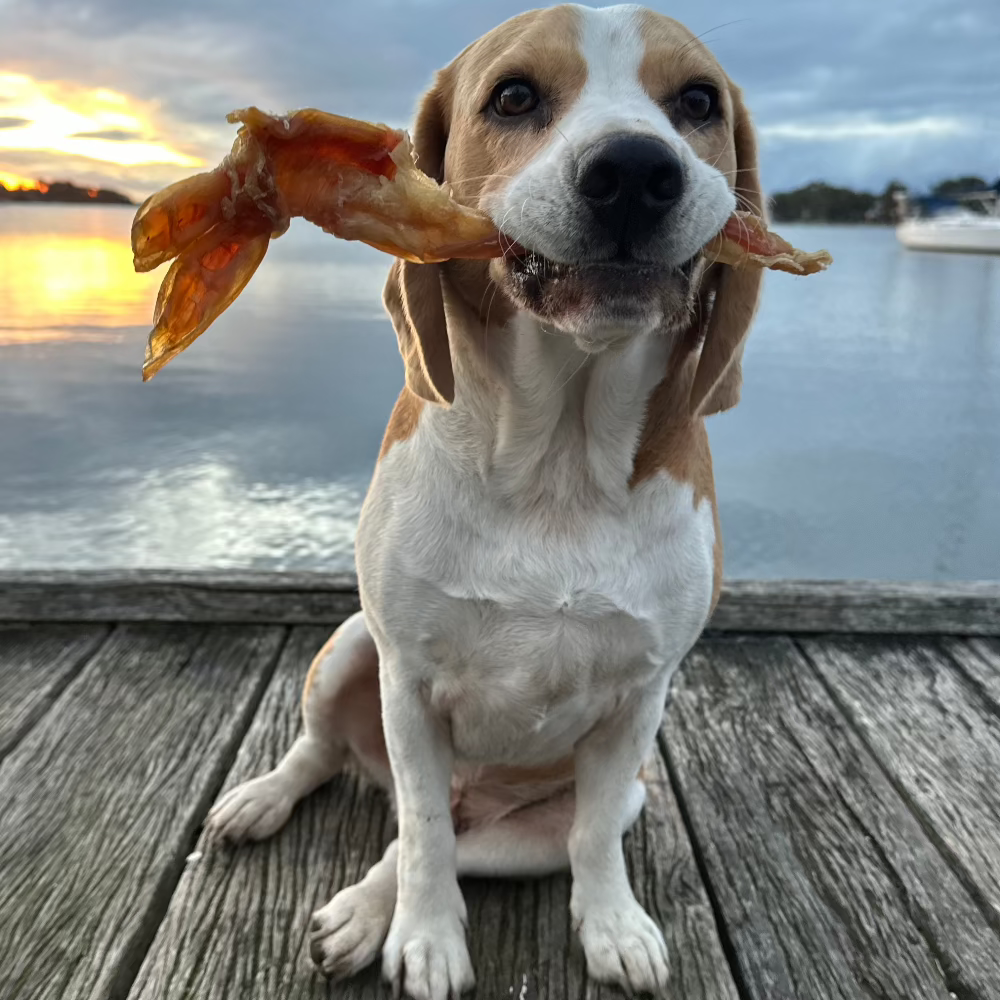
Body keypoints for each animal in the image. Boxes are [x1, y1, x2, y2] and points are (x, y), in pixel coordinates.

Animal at [207, 3, 760, 996]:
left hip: (559, 816)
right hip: (352, 647)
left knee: (452, 841)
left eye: (698, 102)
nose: (634, 171)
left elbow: (579, 840)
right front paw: (427, 939)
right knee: (343, 767)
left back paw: (362, 912)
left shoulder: (639, 699)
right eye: (513, 96)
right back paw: (267, 804)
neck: (556, 465)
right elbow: (423, 831)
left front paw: (611, 925)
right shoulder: (409, 685)